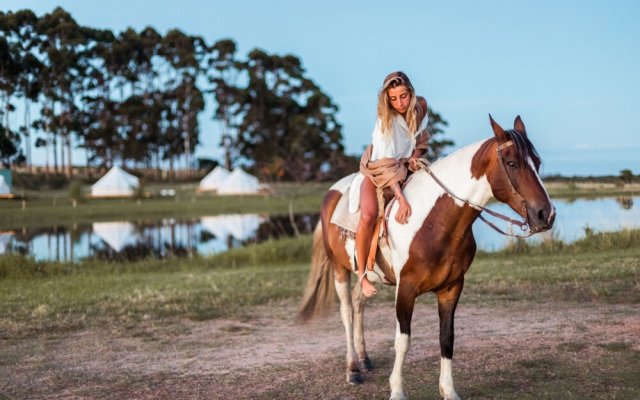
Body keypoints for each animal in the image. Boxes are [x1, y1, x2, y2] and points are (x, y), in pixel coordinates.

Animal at [300, 115, 556, 400]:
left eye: (538, 162)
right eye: (512, 163)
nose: (546, 214)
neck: (434, 221)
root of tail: (332, 192)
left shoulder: (452, 287)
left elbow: (447, 338)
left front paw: (449, 391)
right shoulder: (406, 288)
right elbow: (402, 341)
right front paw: (397, 391)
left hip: (369, 276)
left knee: (358, 303)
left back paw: (365, 359)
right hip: (339, 269)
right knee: (346, 311)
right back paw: (353, 368)